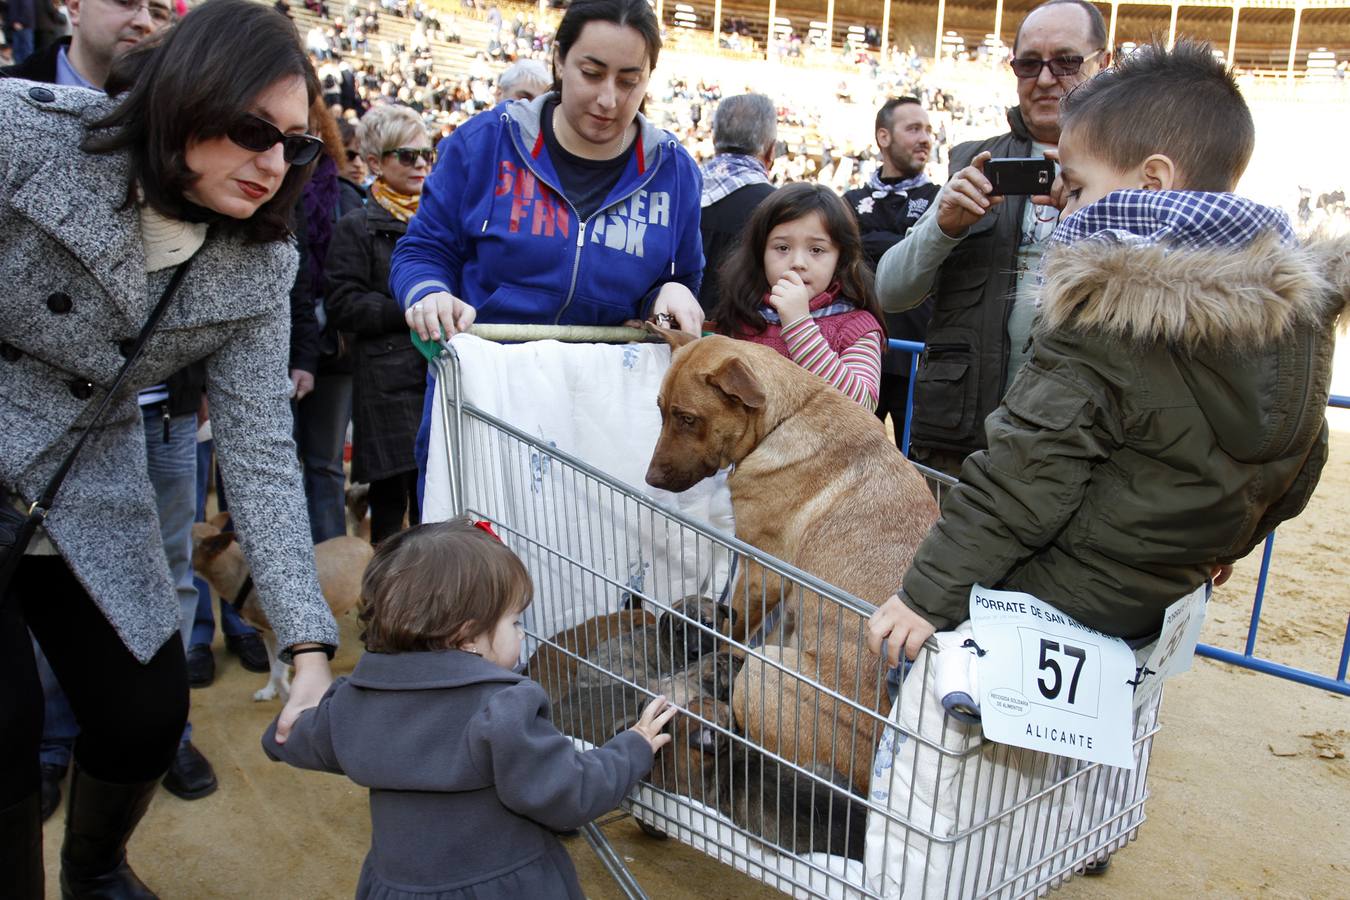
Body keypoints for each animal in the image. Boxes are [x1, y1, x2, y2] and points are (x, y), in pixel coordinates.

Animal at [187, 518, 372, 701]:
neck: (243, 574)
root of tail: (363, 542)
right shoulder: (268, 634)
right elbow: (272, 666)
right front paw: (270, 691)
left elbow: (277, 672)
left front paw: (289, 695)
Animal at [642, 329, 939, 788]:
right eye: (660, 410)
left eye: (687, 418)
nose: (650, 479)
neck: (785, 418)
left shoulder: (761, 572)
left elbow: (734, 630)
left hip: (763, 670)